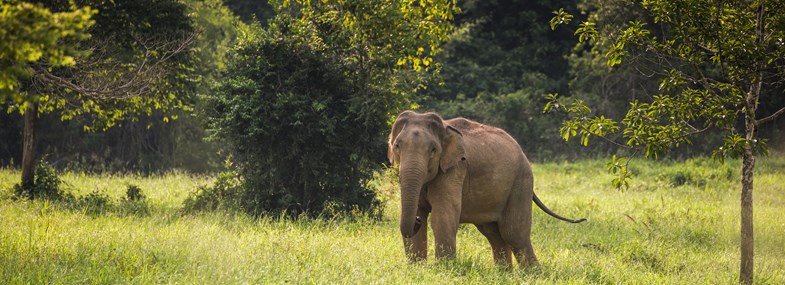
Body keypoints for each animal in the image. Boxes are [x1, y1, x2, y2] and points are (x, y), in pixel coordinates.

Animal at [386, 109, 580, 266]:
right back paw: (504, 274)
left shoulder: (455, 169)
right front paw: (417, 268)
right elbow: (420, 209)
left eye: (433, 150)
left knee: (514, 233)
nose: (417, 221)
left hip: (521, 182)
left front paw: (442, 268)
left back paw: (532, 274)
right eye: (397, 146)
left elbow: (443, 216)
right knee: (493, 233)